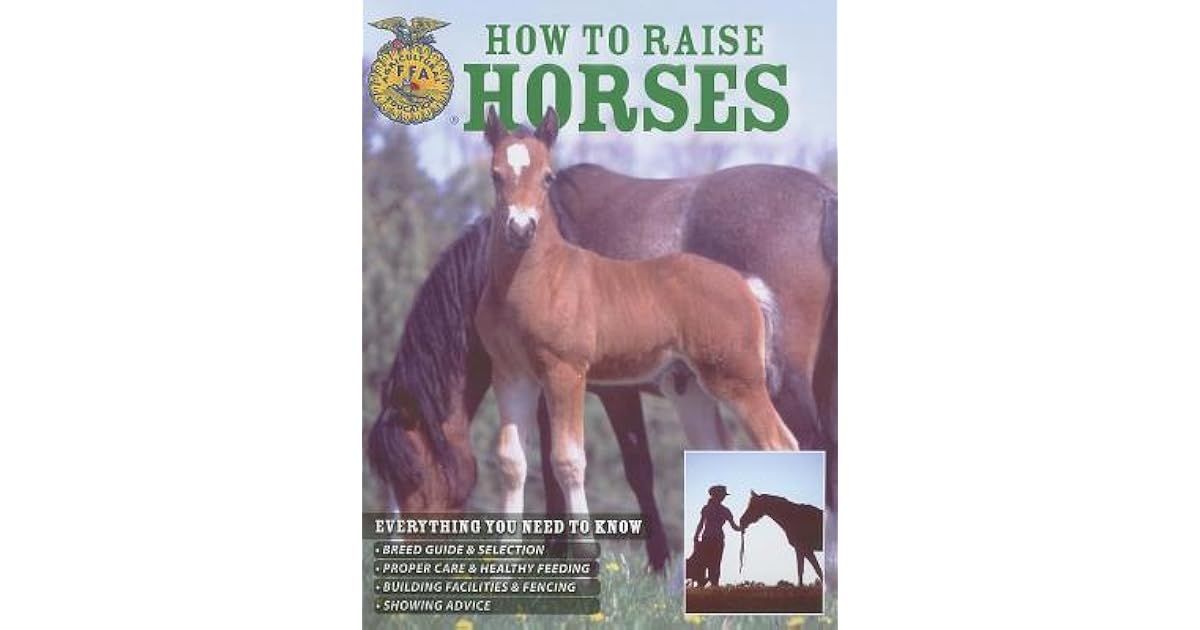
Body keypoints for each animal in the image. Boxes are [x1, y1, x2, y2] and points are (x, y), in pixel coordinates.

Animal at [475, 105, 799, 521]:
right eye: (495, 175)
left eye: (548, 176)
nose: (520, 229)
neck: (537, 279)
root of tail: (744, 283)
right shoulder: (511, 375)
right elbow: (512, 463)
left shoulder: (565, 372)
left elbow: (568, 461)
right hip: (692, 388)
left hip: (739, 381)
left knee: (781, 445)